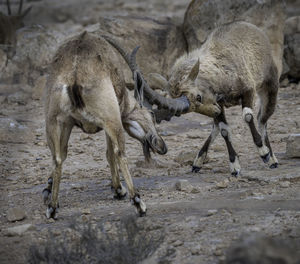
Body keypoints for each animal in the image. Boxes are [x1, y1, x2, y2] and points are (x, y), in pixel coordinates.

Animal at [42, 31, 190, 219]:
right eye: (151, 115)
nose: (161, 146)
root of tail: (75, 73)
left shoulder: (68, 125)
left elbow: (63, 154)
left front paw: (48, 189)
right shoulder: (113, 118)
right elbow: (110, 152)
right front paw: (118, 189)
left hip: (53, 121)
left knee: (57, 157)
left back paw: (52, 208)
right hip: (110, 119)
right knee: (120, 152)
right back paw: (138, 202)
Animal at [109, 21, 278, 176]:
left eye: (198, 96)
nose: (216, 111)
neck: (220, 67)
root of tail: (253, 28)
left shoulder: (248, 90)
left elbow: (248, 117)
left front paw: (263, 153)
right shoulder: (219, 101)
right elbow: (224, 129)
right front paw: (234, 166)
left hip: (269, 86)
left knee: (262, 119)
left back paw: (272, 159)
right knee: (217, 127)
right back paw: (198, 162)